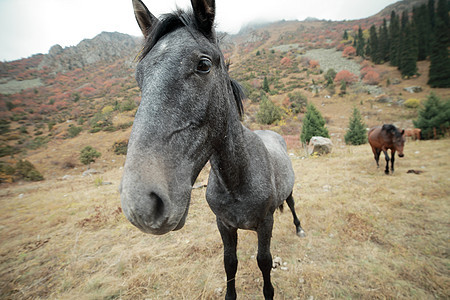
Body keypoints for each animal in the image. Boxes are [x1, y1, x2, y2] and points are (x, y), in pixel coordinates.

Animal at [119, 1, 304, 298]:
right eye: (139, 76)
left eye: (203, 64)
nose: (141, 206)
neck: (237, 180)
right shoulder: (224, 224)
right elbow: (230, 262)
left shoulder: (265, 224)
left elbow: (264, 262)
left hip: (289, 193)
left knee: (293, 204)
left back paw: (299, 228)